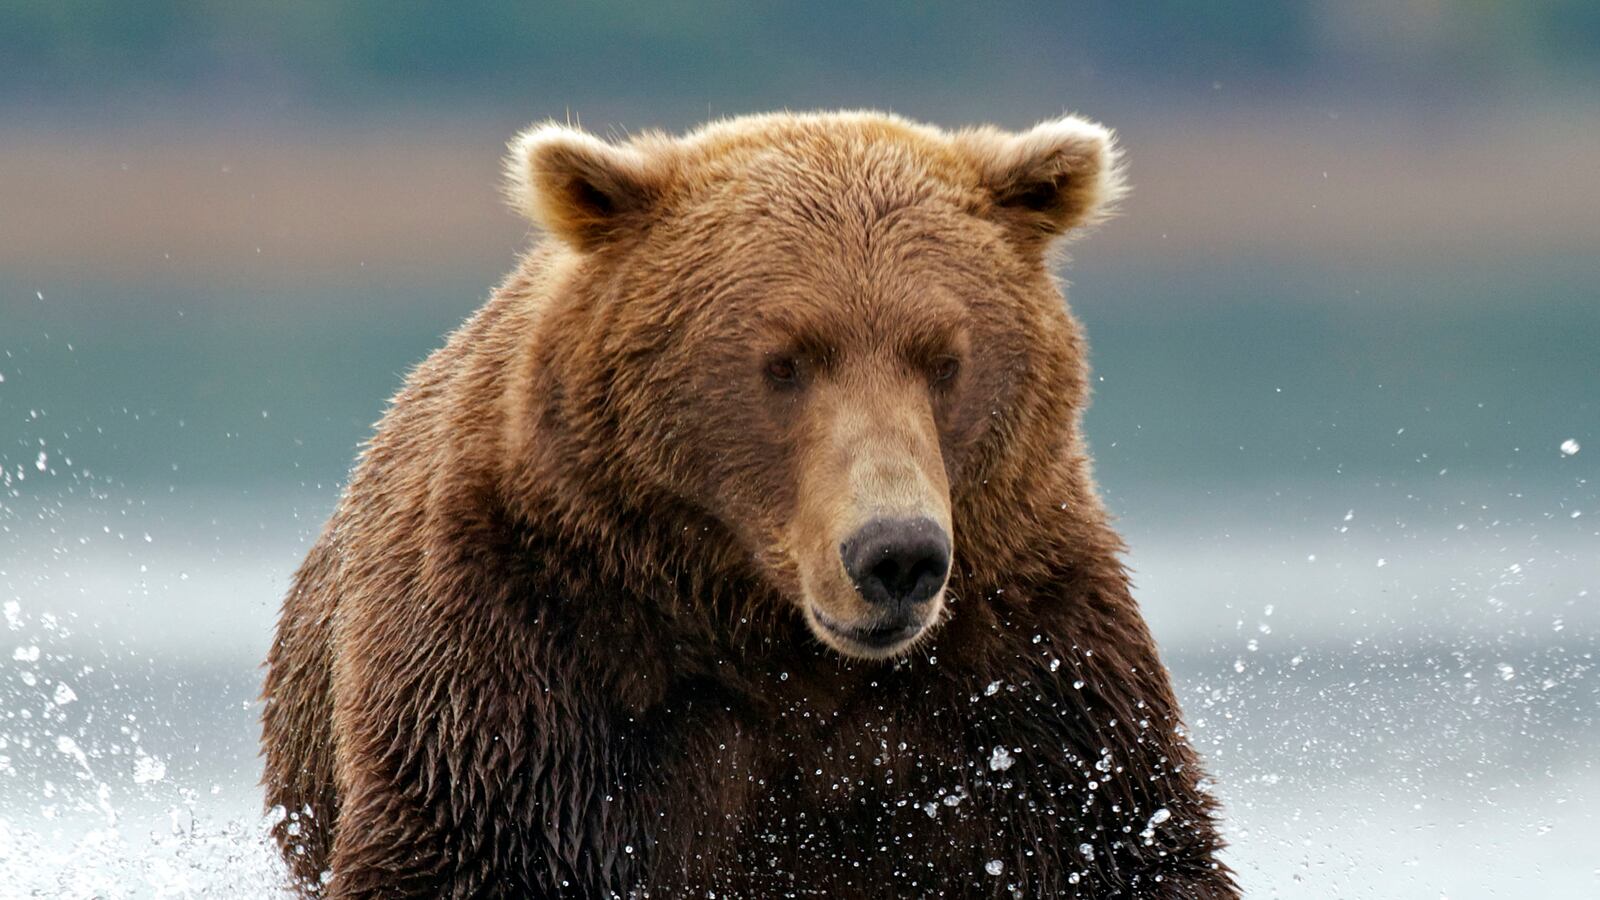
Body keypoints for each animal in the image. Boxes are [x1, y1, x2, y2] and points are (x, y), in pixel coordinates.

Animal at [261, 110, 1235, 899]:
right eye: (787, 360)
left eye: (944, 358)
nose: (896, 554)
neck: (771, 638)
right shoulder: (531, 653)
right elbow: (469, 848)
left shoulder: (1023, 675)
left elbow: (1115, 843)